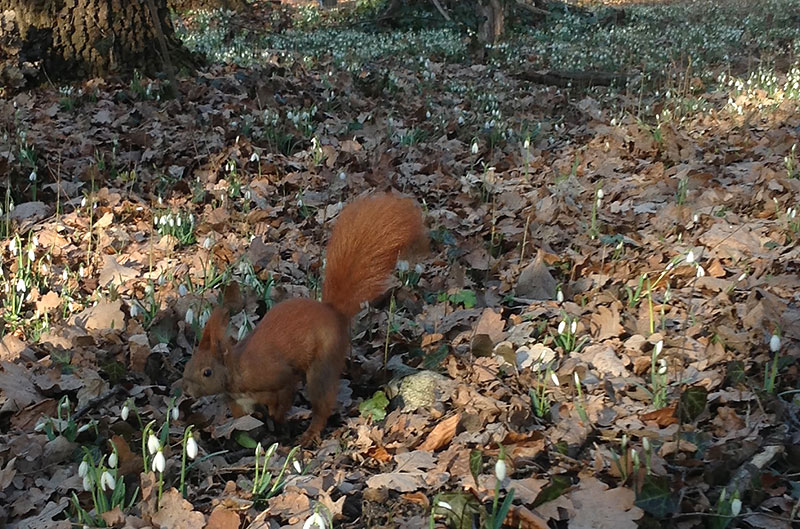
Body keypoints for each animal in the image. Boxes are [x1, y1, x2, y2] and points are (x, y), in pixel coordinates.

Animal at [182, 192, 427, 446]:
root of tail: (333, 313)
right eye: (188, 365)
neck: (236, 370)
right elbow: (244, 419)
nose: (186, 391)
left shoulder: (277, 378)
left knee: (322, 403)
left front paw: (277, 421)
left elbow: (283, 397)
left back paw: (309, 434)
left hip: (323, 362)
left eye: (207, 372)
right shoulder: (239, 402)